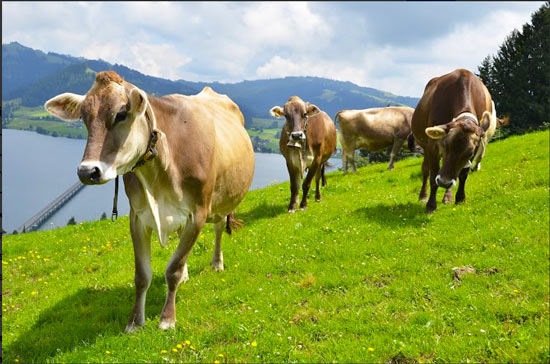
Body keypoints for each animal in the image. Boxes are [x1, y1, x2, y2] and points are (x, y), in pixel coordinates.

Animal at [45, 69, 256, 332]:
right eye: (84, 117)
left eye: (121, 114)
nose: (87, 171)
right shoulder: (137, 217)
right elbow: (142, 275)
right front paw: (135, 322)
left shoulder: (197, 213)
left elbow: (173, 269)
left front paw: (167, 319)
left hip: (222, 199)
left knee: (217, 229)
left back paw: (217, 263)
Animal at [412, 69, 502, 213]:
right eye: (445, 145)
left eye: (470, 152)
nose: (444, 182)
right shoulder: (433, 146)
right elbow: (433, 176)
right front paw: (431, 205)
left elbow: (463, 174)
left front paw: (460, 198)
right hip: (425, 146)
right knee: (425, 170)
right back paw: (423, 195)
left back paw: (447, 196)